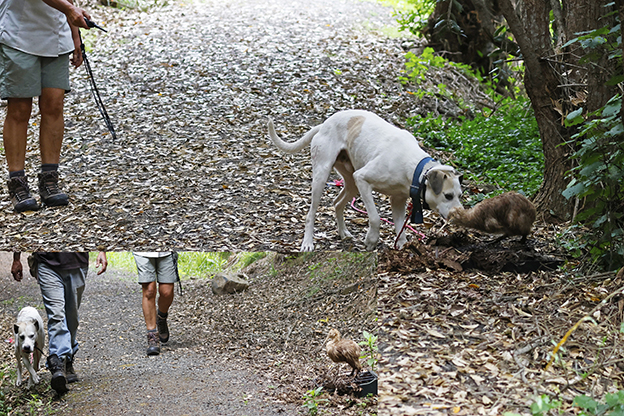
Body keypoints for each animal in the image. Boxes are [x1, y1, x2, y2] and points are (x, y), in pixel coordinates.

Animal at [268, 109, 464, 250]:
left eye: (460, 195)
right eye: (447, 196)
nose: (461, 215)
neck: (415, 169)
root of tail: (324, 124)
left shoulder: (397, 199)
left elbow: (400, 226)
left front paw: (402, 246)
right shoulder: (363, 179)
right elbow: (375, 218)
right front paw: (371, 240)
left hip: (351, 183)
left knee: (337, 203)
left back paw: (343, 232)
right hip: (323, 176)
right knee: (311, 213)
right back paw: (307, 243)